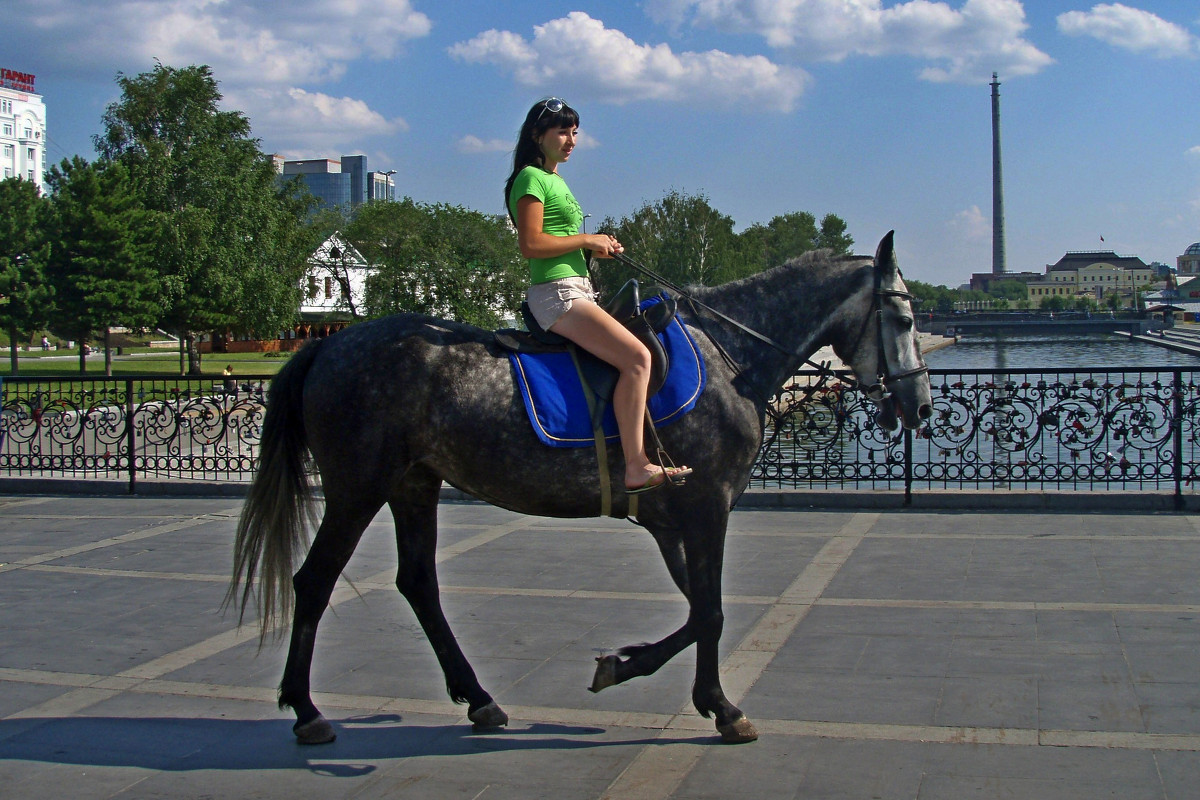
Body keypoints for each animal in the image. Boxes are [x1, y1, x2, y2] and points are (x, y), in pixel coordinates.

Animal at [226, 235, 936, 748]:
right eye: (903, 316)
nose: (922, 405)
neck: (730, 354)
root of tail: (327, 347)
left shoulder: (673, 519)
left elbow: (697, 609)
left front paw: (632, 667)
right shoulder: (706, 506)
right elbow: (709, 612)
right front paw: (718, 706)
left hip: (413, 484)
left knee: (417, 582)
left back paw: (479, 699)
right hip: (358, 487)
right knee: (315, 581)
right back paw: (307, 710)